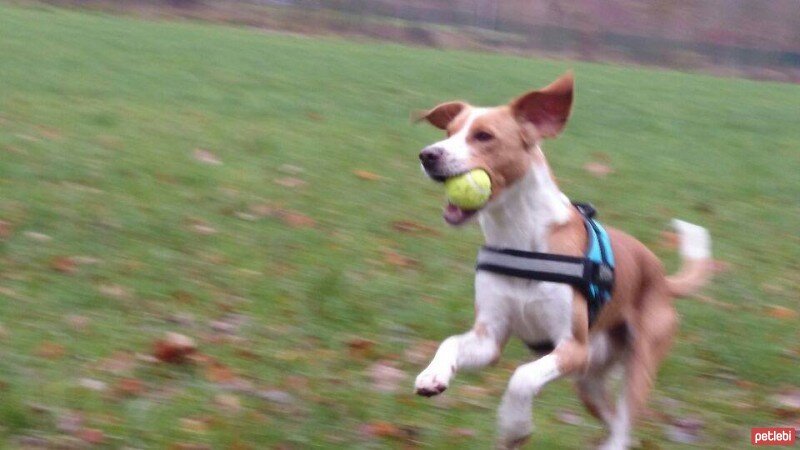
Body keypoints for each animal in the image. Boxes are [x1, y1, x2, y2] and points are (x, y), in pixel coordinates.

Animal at [412, 72, 712, 448]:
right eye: (448, 132)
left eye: (484, 136)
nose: (428, 155)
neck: (520, 238)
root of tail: (660, 275)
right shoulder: (490, 338)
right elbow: (450, 342)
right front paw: (432, 374)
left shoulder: (572, 349)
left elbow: (522, 376)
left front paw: (514, 425)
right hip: (589, 379)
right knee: (614, 420)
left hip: (637, 363)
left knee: (626, 421)